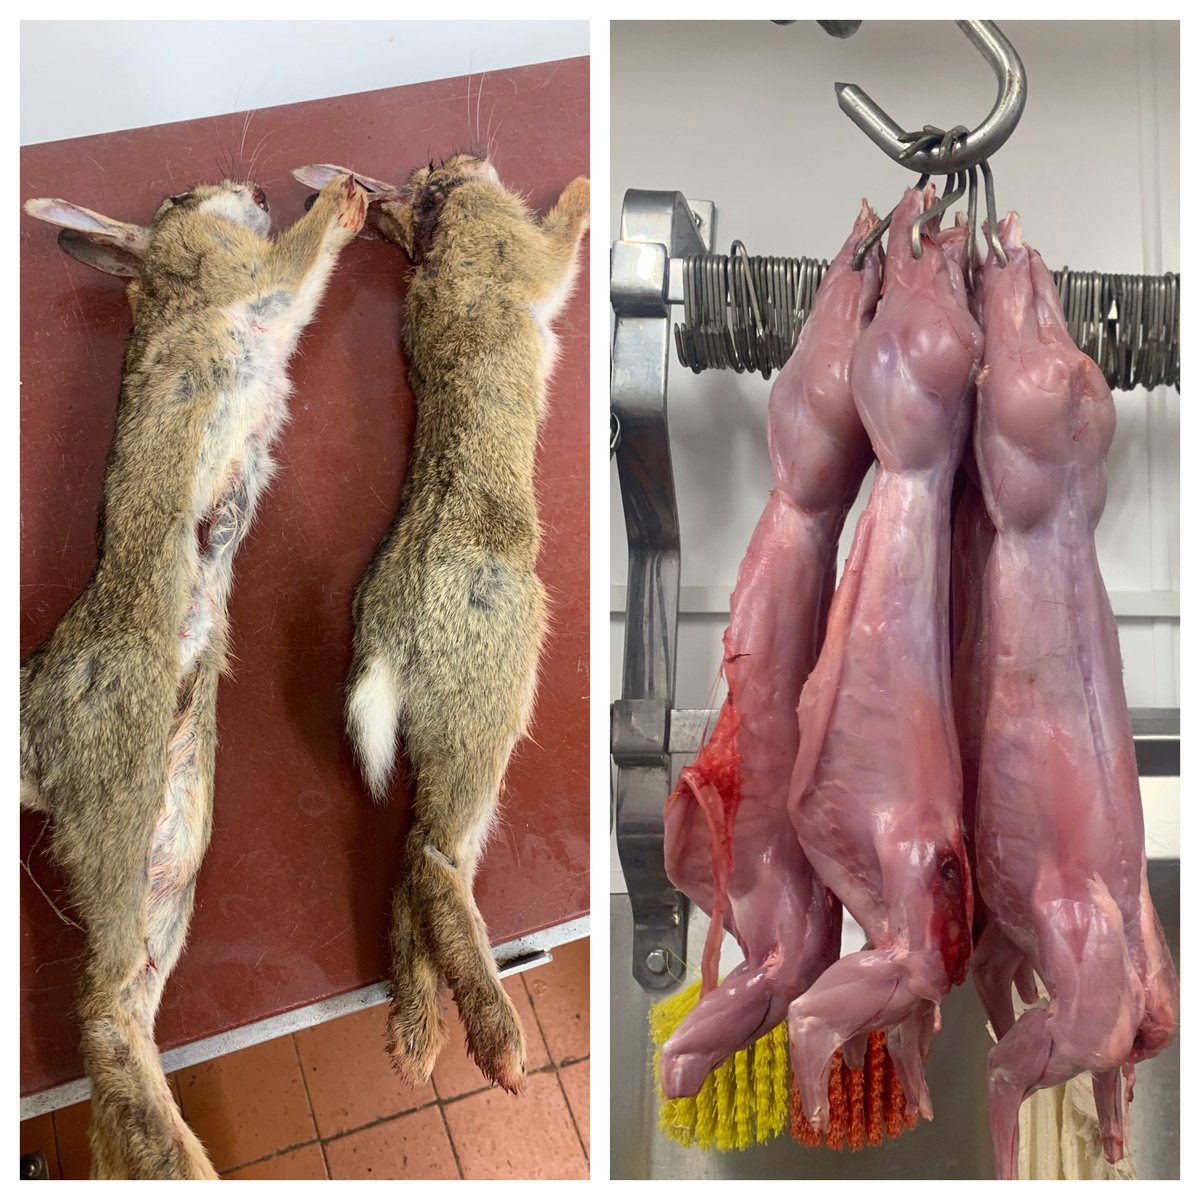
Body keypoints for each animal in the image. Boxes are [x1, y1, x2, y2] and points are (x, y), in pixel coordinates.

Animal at [21, 172, 367, 1178]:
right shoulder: (253, 277)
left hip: (177, 837)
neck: (168, 274)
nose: (250, 186)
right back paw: (178, 1158)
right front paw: (342, 199)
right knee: (99, 1006)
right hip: (124, 800)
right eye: (180, 194)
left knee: (125, 998)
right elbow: (299, 256)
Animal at [292, 155, 589, 1093]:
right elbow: (560, 246)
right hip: (488, 704)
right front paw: (584, 184)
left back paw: (417, 1033)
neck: (433, 240)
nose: (462, 164)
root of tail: (386, 643)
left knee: (411, 864)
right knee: (432, 858)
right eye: (431, 178)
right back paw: (499, 1046)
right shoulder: (527, 258)